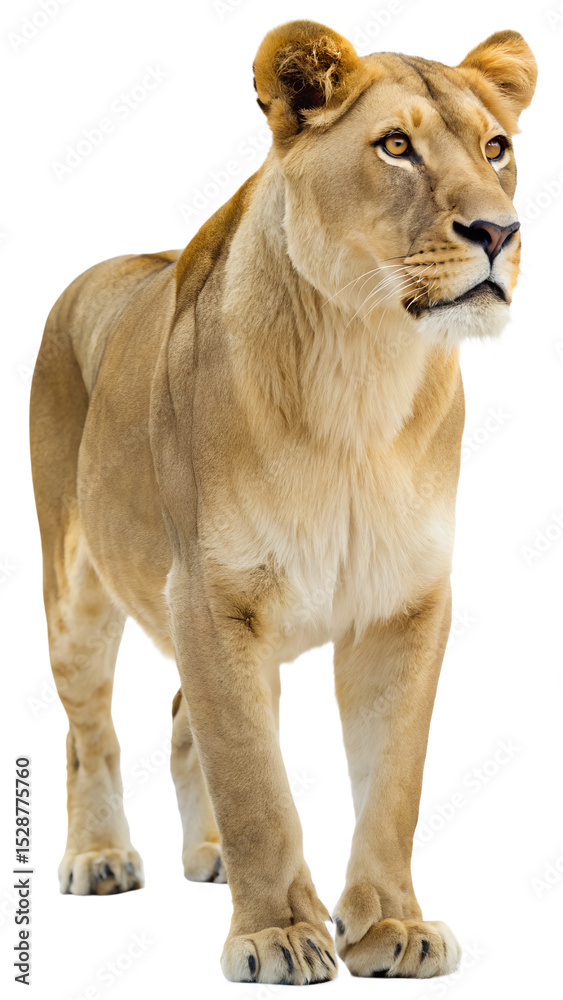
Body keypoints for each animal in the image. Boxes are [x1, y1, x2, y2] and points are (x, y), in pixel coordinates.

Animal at [29, 20, 537, 984]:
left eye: (496, 149)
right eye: (395, 146)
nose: (498, 229)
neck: (364, 368)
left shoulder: (406, 604)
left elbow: (392, 782)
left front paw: (391, 926)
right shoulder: (211, 596)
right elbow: (255, 781)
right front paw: (274, 935)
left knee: (185, 716)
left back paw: (212, 855)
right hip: (74, 585)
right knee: (88, 731)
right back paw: (101, 858)